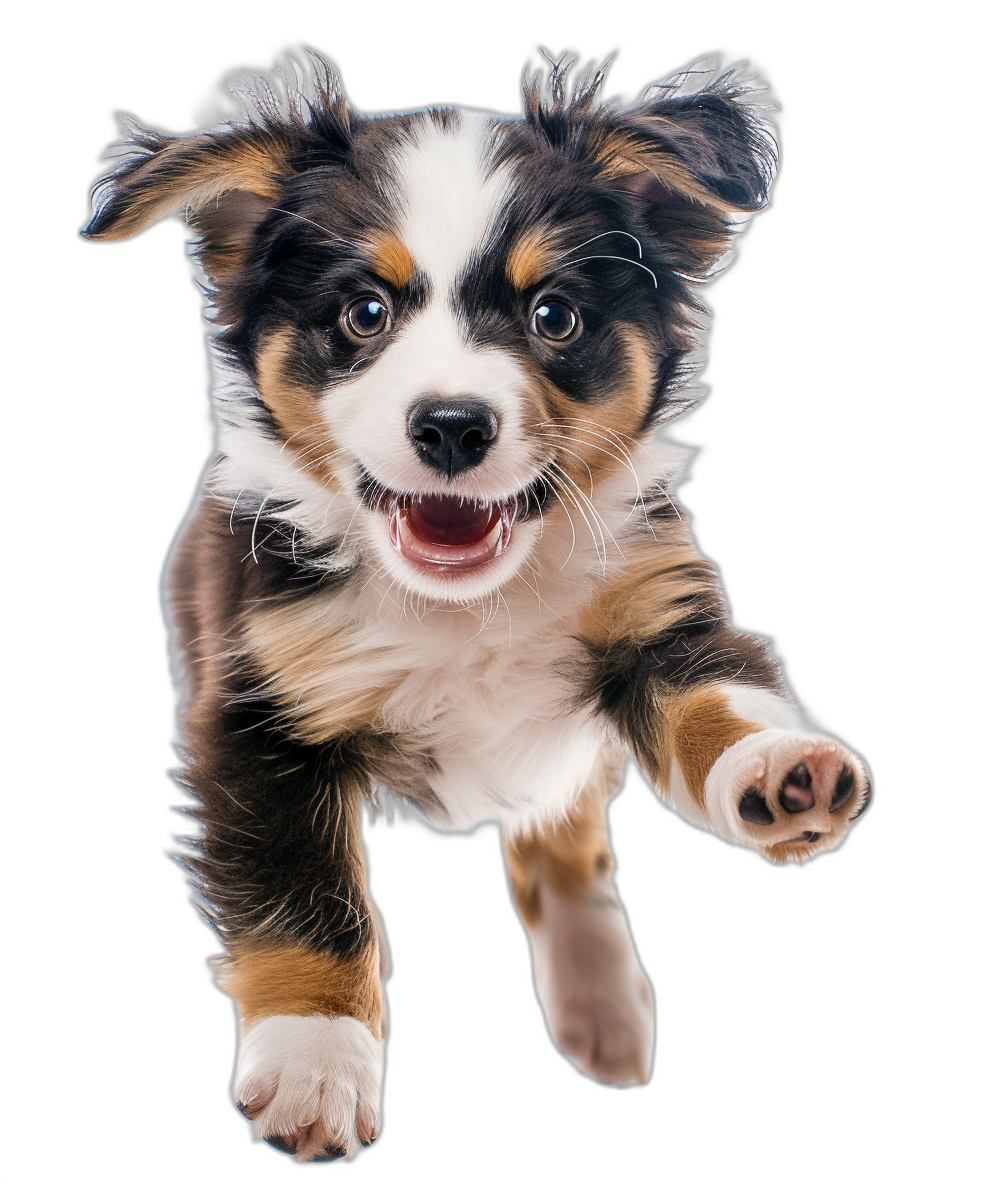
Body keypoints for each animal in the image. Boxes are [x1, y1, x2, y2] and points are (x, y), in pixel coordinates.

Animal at [86, 50, 876, 1160]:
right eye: (364, 314)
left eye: (555, 316)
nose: (454, 425)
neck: (465, 604)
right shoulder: (251, 705)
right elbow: (305, 895)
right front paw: (316, 1055)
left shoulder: (658, 616)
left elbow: (716, 702)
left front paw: (779, 767)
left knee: (564, 834)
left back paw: (603, 1002)